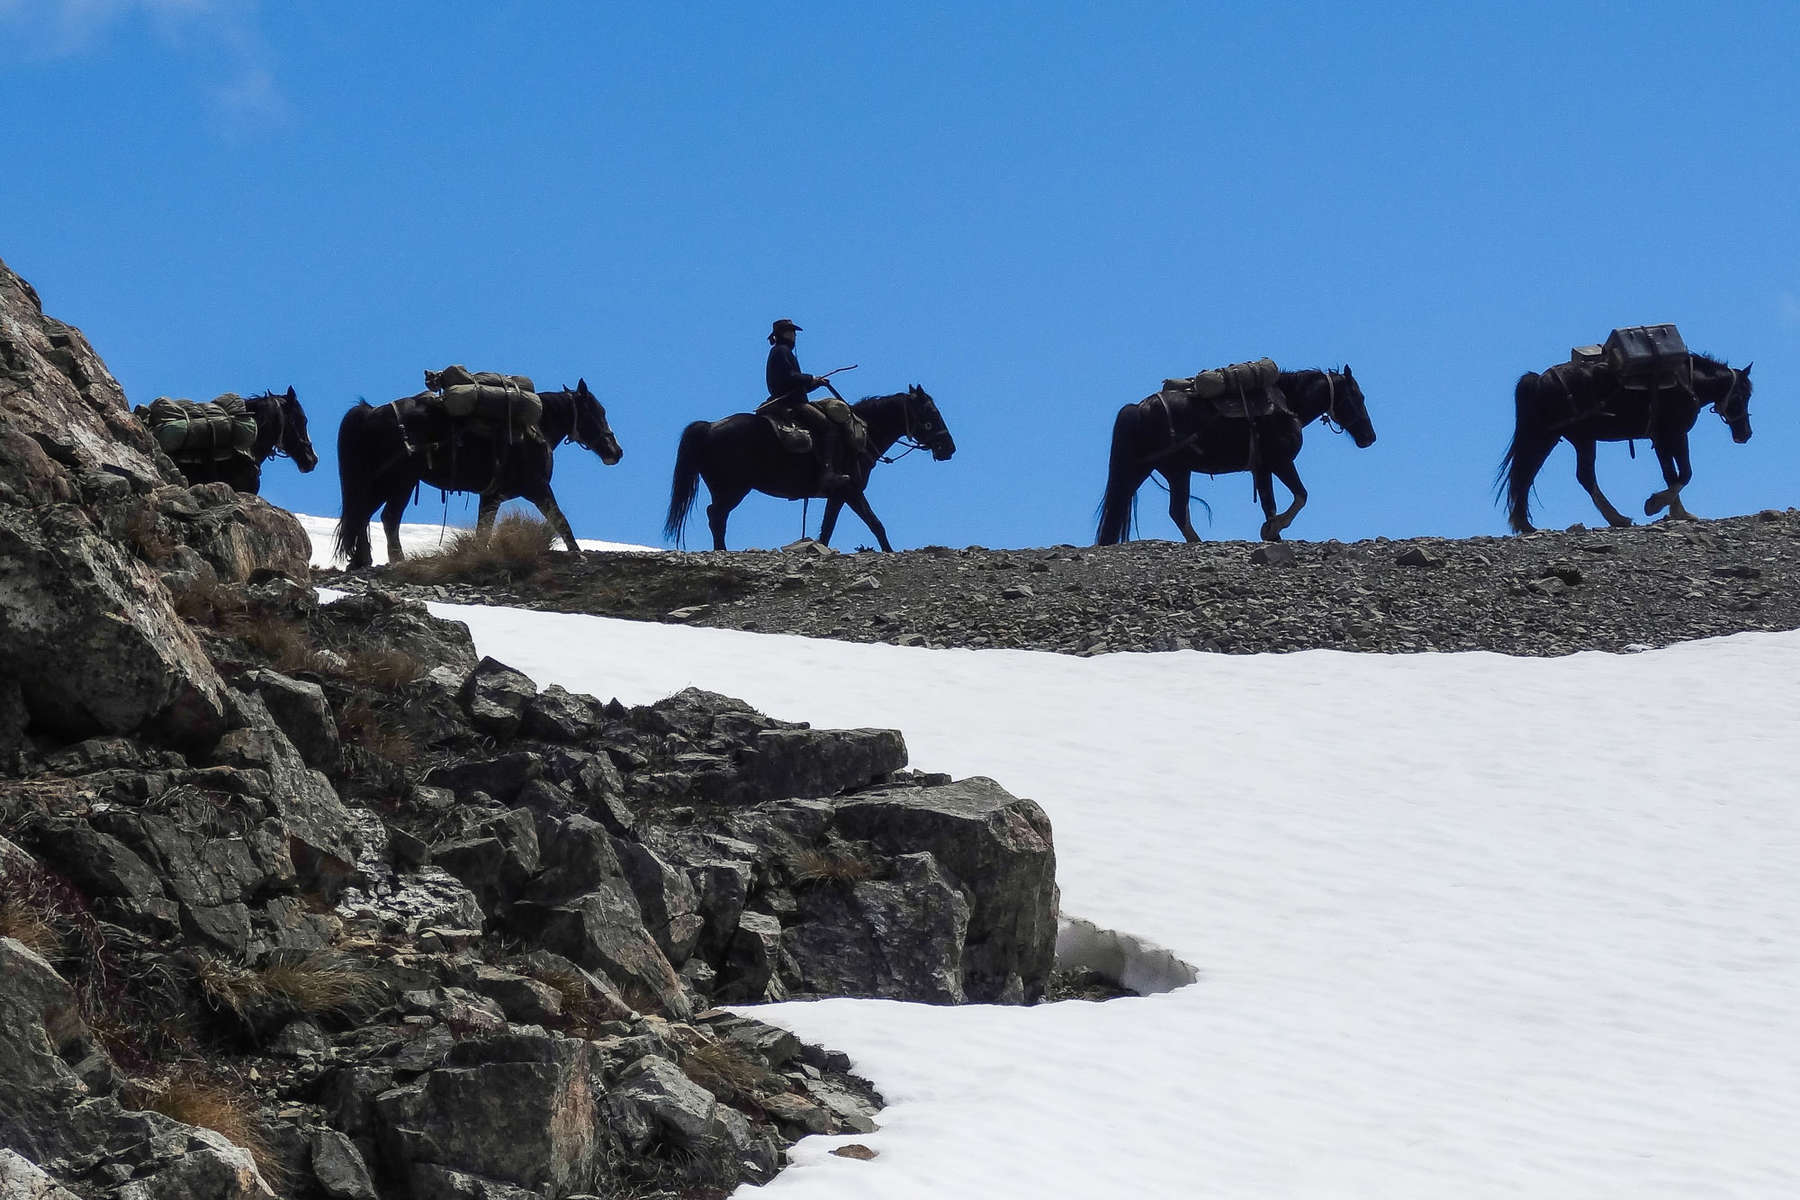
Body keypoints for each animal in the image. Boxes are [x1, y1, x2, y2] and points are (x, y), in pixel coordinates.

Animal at [334, 385, 622, 572]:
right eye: (597, 411)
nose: (615, 452)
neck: (535, 430)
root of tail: (371, 412)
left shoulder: (491, 496)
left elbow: (483, 532)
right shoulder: (538, 487)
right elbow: (560, 519)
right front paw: (577, 553)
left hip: (384, 483)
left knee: (362, 516)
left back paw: (361, 560)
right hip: (398, 482)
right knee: (384, 517)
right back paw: (395, 560)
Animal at [666, 385, 957, 554]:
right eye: (932, 412)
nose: (949, 448)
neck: (861, 434)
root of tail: (708, 427)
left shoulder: (838, 495)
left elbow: (827, 530)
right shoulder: (851, 490)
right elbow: (876, 523)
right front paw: (889, 551)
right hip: (732, 490)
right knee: (716, 516)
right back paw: (721, 550)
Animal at [1094, 368, 1375, 546]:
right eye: (1358, 396)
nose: (1369, 437)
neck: (1286, 406)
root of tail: (1139, 408)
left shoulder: (1262, 469)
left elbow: (1270, 504)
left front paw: (1272, 533)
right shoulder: (1280, 462)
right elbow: (1300, 496)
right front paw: (1274, 529)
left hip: (1157, 470)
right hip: (1173, 471)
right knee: (1176, 511)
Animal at [1490, 349, 1756, 532]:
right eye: (1743, 395)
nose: (1745, 434)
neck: (1688, 381)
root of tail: (1538, 379)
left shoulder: (1661, 439)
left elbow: (1671, 474)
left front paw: (1677, 512)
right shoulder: (1675, 434)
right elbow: (1685, 474)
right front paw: (1656, 504)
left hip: (1569, 438)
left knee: (1539, 474)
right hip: (1563, 437)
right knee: (1535, 474)